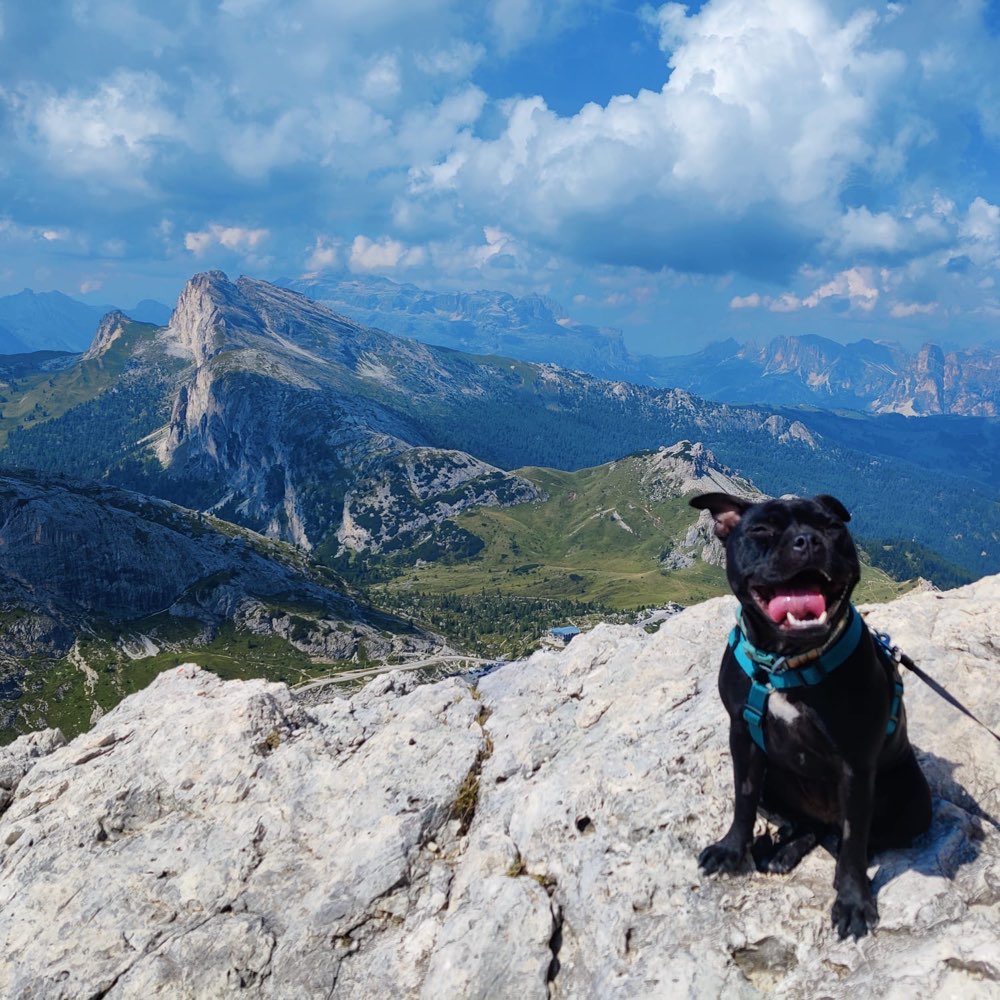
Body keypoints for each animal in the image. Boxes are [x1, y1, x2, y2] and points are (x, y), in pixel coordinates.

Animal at [688, 492, 928, 936]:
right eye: (761, 530)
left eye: (832, 527)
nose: (808, 541)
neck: (788, 662)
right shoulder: (743, 740)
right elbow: (743, 801)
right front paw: (732, 849)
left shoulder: (856, 767)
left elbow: (853, 841)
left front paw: (852, 900)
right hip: (775, 780)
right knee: (810, 824)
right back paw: (784, 850)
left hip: (912, 804)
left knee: (846, 835)